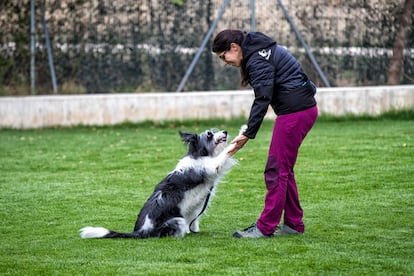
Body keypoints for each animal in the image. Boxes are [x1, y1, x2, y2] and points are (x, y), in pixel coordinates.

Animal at [79, 127, 244, 239]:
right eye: (209, 134)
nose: (225, 131)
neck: (199, 154)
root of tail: (140, 231)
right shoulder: (211, 166)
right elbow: (227, 152)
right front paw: (242, 132)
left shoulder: (194, 209)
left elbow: (194, 221)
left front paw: (194, 231)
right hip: (177, 221)